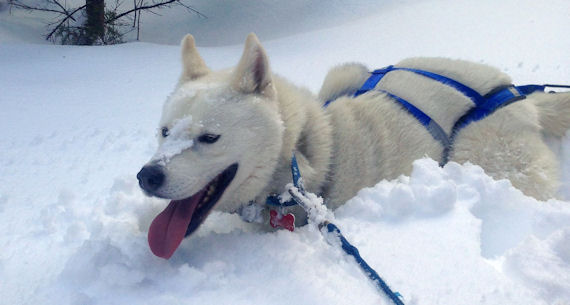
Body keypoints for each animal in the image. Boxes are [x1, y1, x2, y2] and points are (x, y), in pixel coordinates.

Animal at [138, 33, 568, 256]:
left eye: (209, 138)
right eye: (164, 131)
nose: (147, 176)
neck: (308, 149)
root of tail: (516, 94)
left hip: (483, 155)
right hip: (347, 72)